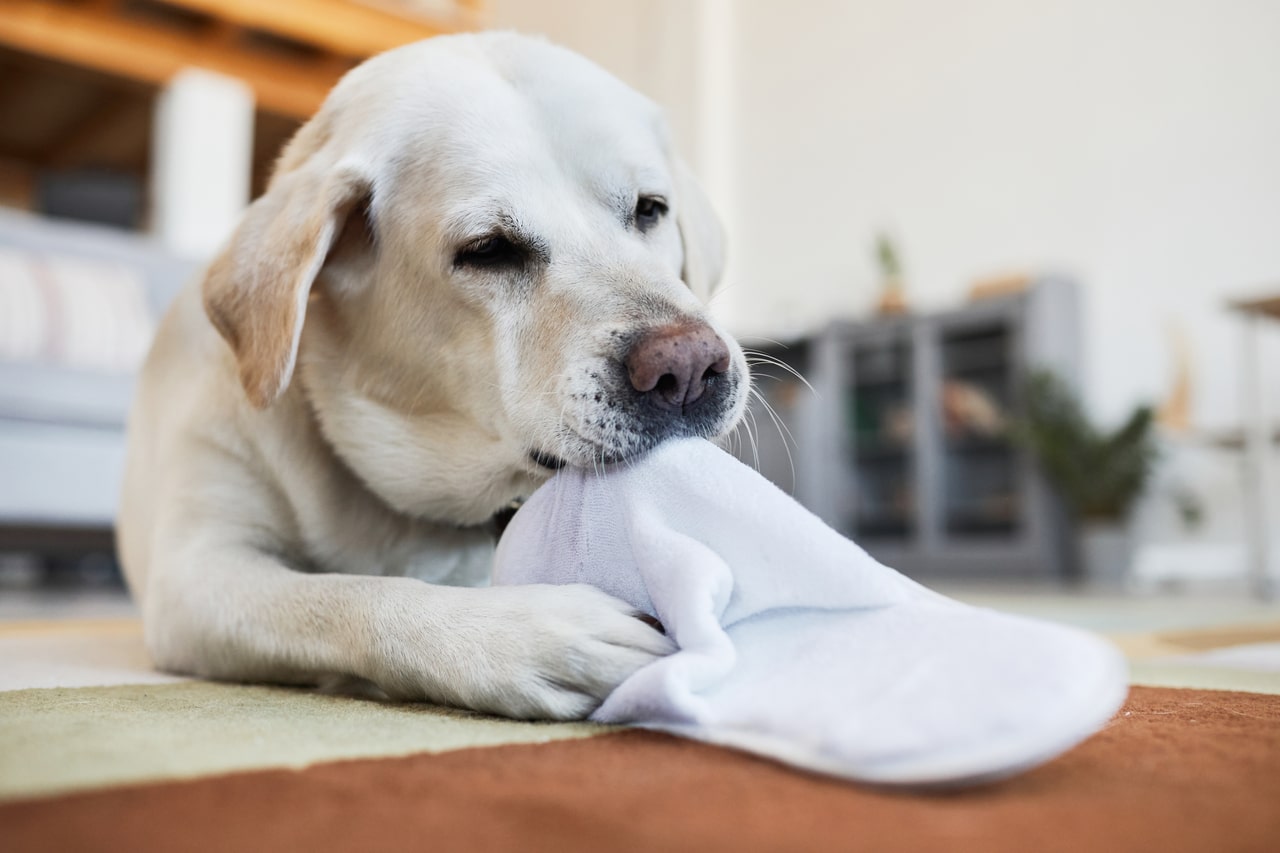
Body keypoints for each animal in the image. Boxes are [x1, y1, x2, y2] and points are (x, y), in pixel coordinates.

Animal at [120, 33, 747, 717]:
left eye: (650, 209)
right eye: (488, 249)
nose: (688, 367)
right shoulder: (194, 574)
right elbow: (350, 594)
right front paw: (527, 635)